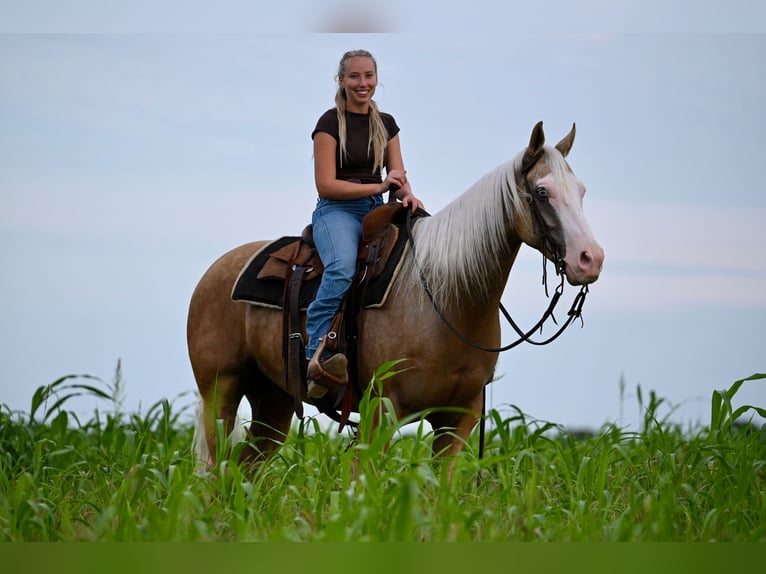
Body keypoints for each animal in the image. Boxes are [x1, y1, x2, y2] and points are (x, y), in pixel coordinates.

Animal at [187, 121, 604, 469]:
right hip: (220, 391)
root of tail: (214, 272)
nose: (591, 258)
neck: (446, 298)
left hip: (272, 400)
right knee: (215, 468)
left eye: (582, 191)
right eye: (542, 191)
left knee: (244, 469)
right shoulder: (381, 410)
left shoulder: (459, 418)